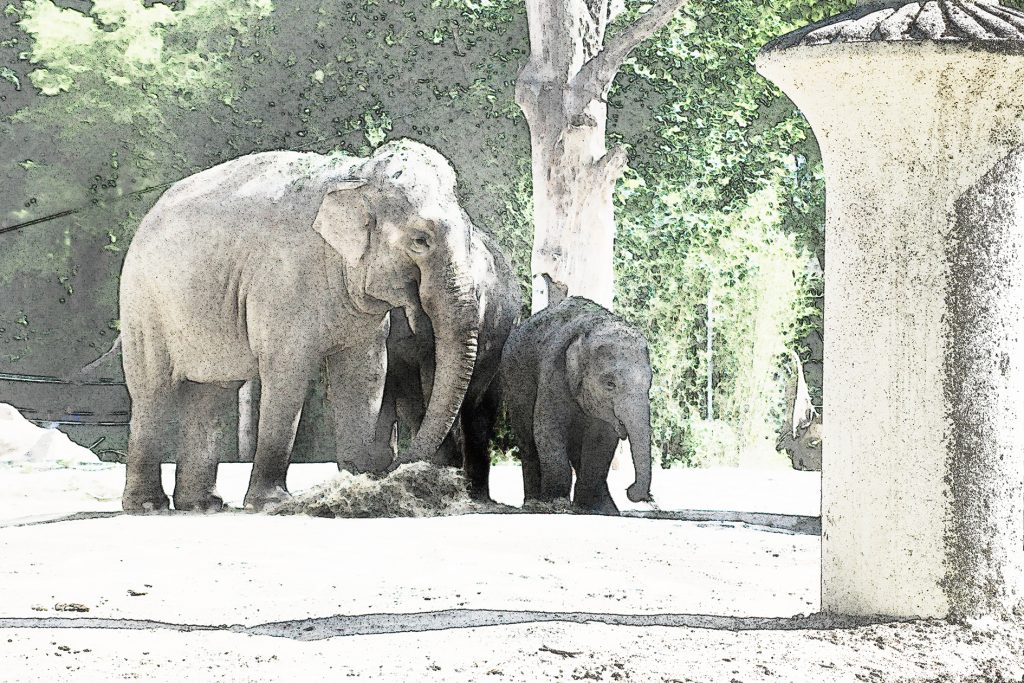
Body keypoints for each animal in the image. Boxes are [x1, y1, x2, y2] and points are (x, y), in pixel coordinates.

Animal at [118, 139, 481, 512]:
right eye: (421, 240)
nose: (393, 465)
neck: (357, 176)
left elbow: (365, 373)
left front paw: (356, 485)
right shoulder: (281, 279)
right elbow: (287, 373)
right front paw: (270, 502)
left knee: (212, 394)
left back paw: (202, 505)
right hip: (144, 306)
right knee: (153, 390)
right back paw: (147, 506)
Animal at [499, 285, 653, 514]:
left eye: (649, 382)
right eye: (610, 384)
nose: (630, 490)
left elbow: (601, 441)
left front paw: (593, 509)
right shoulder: (553, 373)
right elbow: (547, 429)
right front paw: (555, 503)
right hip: (514, 384)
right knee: (527, 440)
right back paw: (533, 503)